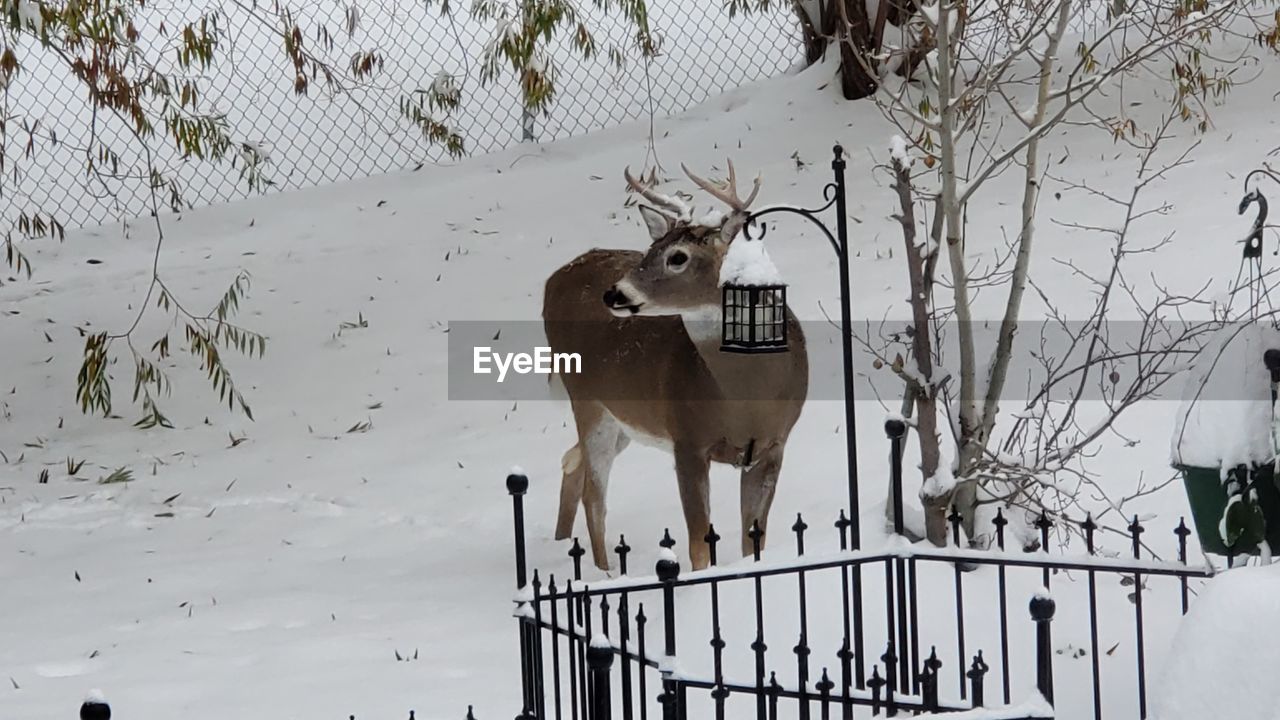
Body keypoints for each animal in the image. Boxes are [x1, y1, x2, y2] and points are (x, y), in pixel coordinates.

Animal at [542, 159, 808, 568]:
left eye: (677, 256)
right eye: (650, 249)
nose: (614, 293)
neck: (745, 400)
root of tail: (554, 279)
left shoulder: (775, 444)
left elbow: (754, 539)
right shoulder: (687, 439)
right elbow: (698, 541)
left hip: (625, 418)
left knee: (571, 461)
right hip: (588, 400)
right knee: (594, 494)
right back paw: (606, 573)